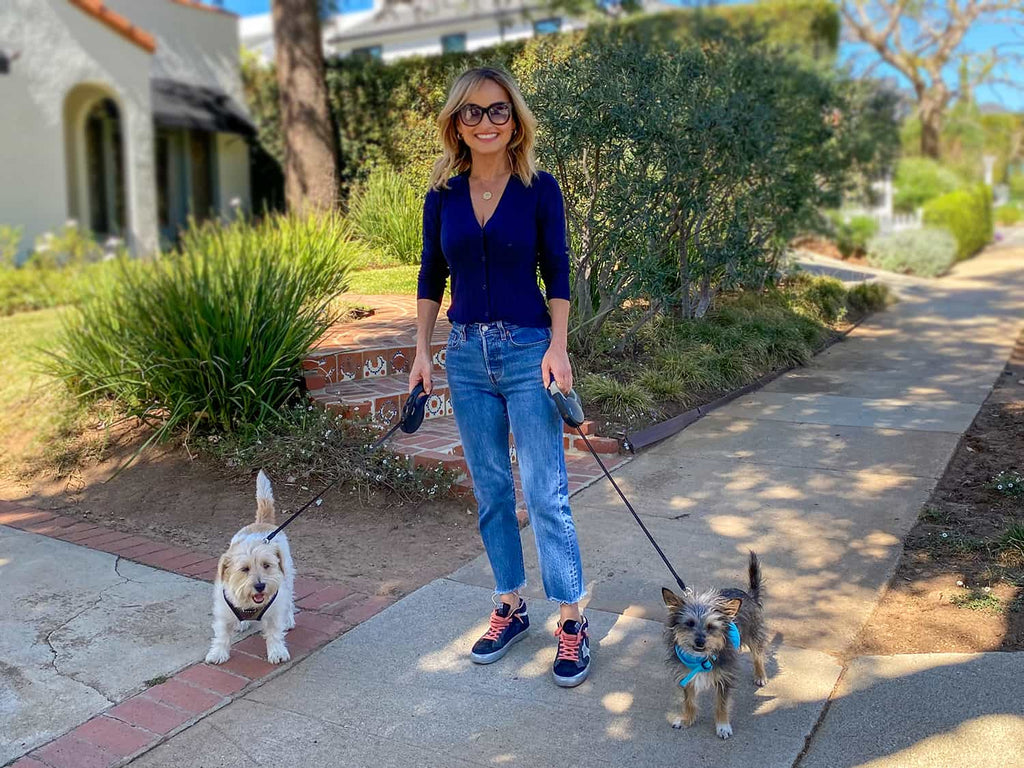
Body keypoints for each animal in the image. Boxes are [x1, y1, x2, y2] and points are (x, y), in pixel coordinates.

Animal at [202, 473, 292, 663]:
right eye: (244, 569)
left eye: (266, 565)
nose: (260, 586)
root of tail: (261, 524)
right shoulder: (223, 610)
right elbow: (222, 635)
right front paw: (218, 653)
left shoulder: (274, 611)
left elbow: (274, 633)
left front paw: (277, 651)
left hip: (288, 576)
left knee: (289, 599)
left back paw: (288, 619)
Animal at [663, 552, 770, 741]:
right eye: (689, 623)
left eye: (711, 627)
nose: (699, 642)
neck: (699, 659)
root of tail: (749, 595)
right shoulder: (686, 675)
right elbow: (689, 701)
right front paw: (687, 719)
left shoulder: (724, 677)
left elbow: (722, 704)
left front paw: (722, 726)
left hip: (753, 633)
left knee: (758, 654)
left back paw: (760, 675)